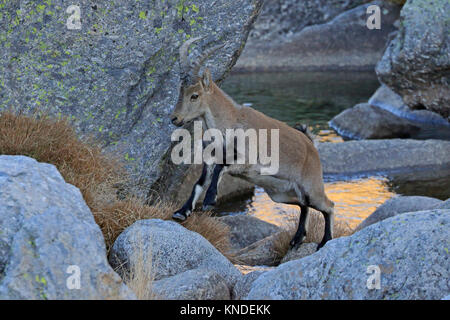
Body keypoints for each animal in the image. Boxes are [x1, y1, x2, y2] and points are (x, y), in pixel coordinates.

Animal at [169, 38, 334, 250]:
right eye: (180, 91)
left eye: (194, 95)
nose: (175, 118)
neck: (230, 122)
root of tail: (311, 144)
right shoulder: (210, 160)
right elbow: (198, 183)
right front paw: (181, 212)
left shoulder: (246, 161)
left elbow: (221, 167)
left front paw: (209, 200)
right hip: (280, 193)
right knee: (303, 204)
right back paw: (297, 239)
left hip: (311, 186)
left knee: (328, 206)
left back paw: (325, 241)